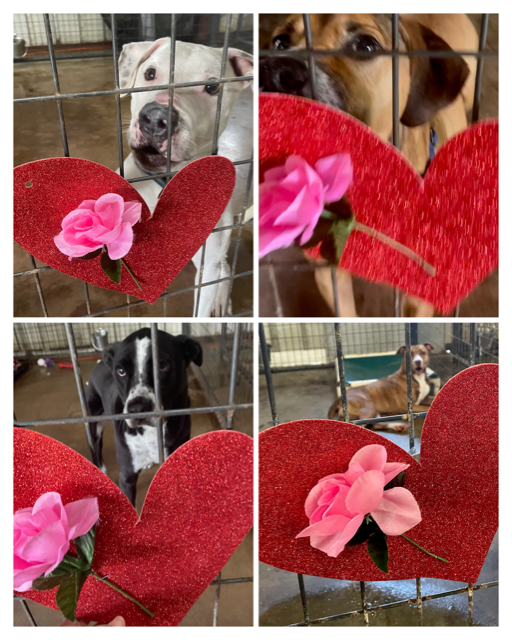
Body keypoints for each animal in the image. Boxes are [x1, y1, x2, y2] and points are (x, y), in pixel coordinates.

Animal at [86, 330, 202, 504]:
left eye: (162, 365)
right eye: (121, 370)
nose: (137, 409)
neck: (150, 432)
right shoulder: (127, 476)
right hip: (94, 424)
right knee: (96, 447)